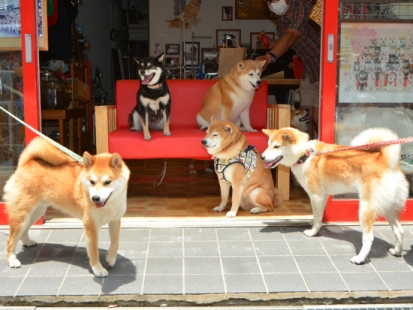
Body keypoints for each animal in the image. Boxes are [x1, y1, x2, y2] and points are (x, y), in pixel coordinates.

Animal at [2, 137, 129, 278]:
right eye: (92, 182)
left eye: (107, 182)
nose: (95, 198)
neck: (110, 204)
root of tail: (25, 164)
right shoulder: (90, 225)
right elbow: (94, 251)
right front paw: (98, 269)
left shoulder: (115, 220)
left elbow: (115, 242)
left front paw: (111, 258)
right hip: (22, 215)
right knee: (10, 239)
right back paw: (12, 260)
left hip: (36, 212)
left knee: (24, 230)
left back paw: (27, 242)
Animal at [260, 127, 408, 266]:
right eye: (268, 144)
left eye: (276, 146)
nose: (262, 157)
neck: (305, 155)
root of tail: (388, 163)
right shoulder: (323, 196)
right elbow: (318, 216)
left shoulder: (316, 196)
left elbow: (318, 217)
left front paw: (313, 232)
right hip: (389, 208)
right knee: (399, 231)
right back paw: (397, 251)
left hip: (366, 208)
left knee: (369, 237)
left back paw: (359, 258)